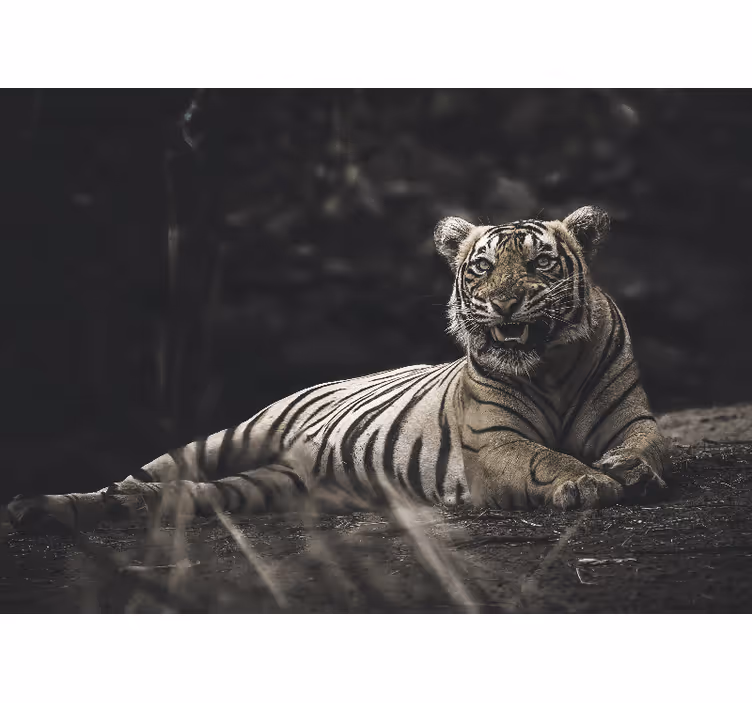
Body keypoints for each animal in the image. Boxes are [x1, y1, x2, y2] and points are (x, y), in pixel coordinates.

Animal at [6, 205, 668, 533]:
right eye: (482, 268)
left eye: (538, 264)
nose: (504, 303)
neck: (551, 367)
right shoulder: (495, 443)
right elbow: (543, 458)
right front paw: (588, 482)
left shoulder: (632, 420)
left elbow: (648, 446)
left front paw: (627, 470)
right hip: (231, 435)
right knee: (144, 476)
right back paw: (49, 506)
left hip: (268, 485)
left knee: (179, 496)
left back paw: (94, 511)